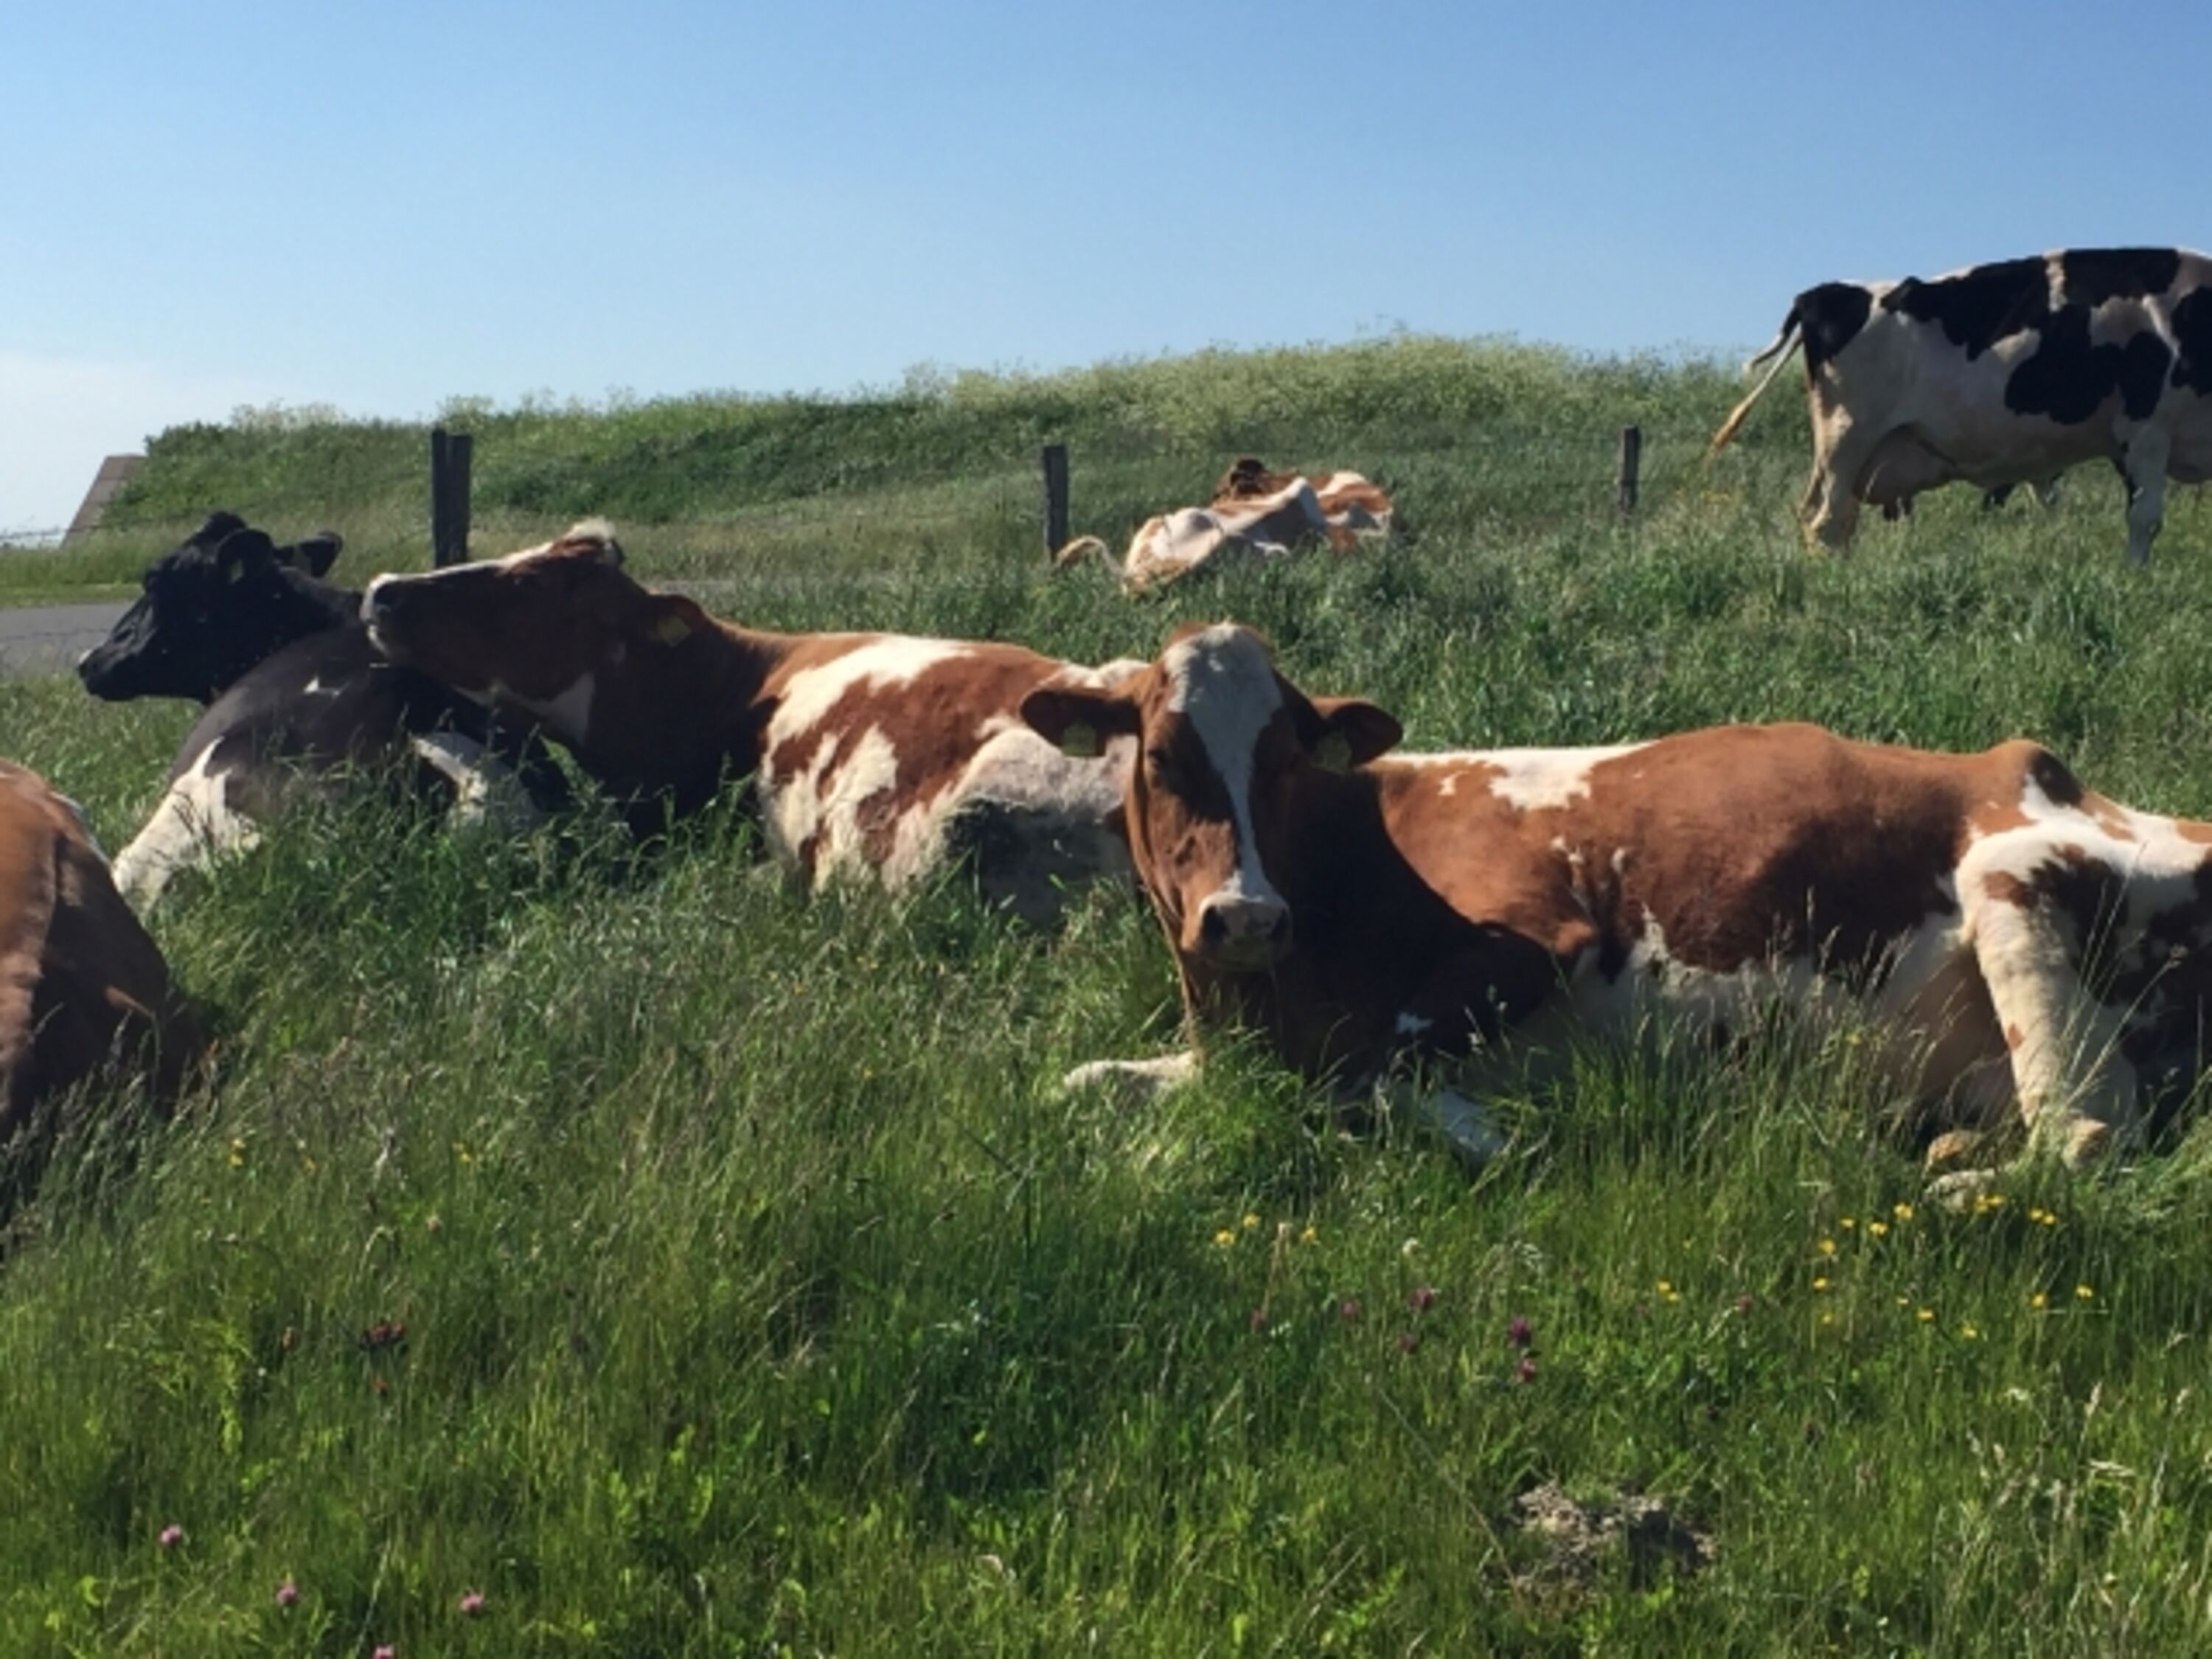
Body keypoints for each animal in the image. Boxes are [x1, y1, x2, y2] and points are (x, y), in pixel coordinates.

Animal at [1020, 622, 2212, 1198]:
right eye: (1162, 758)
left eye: (1282, 763)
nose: (1246, 915)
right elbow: (1074, 1083)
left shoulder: (1545, 937)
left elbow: (1375, 1079)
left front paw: (1499, 1131)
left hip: (2014, 879)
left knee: (2087, 1137)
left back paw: (1938, 1189)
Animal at [1709, 247, 2212, 562]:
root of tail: (1825, 293)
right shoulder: (2146, 430)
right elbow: (2145, 519)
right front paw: (2135, 580)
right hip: (1848, 437)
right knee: (1826, 524)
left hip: (1840, 452)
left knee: (1828, 518)